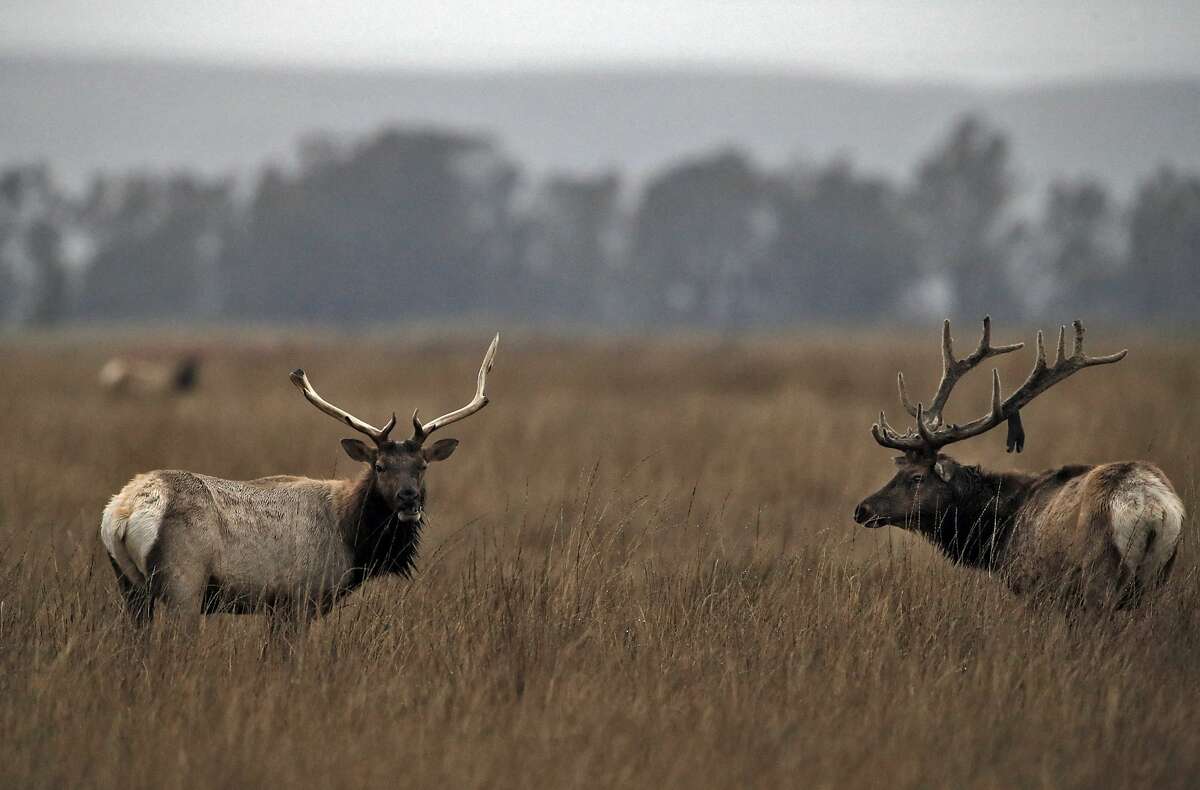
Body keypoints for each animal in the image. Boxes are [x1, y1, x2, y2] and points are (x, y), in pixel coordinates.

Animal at [98, 331, 499, 629]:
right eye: (380, 466)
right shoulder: (298, 598)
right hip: (184, 584)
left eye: (422, 466)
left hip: (129, 587)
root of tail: (122, 513)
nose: (409, 498)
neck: (351, 538)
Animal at [854, 316, 1180, 605]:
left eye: (917, 477)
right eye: (900, 471)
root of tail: (1152, 508)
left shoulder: (1033, 581)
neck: (999, 532)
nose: (862, 509)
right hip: (1157, 578)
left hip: (1099, 576)